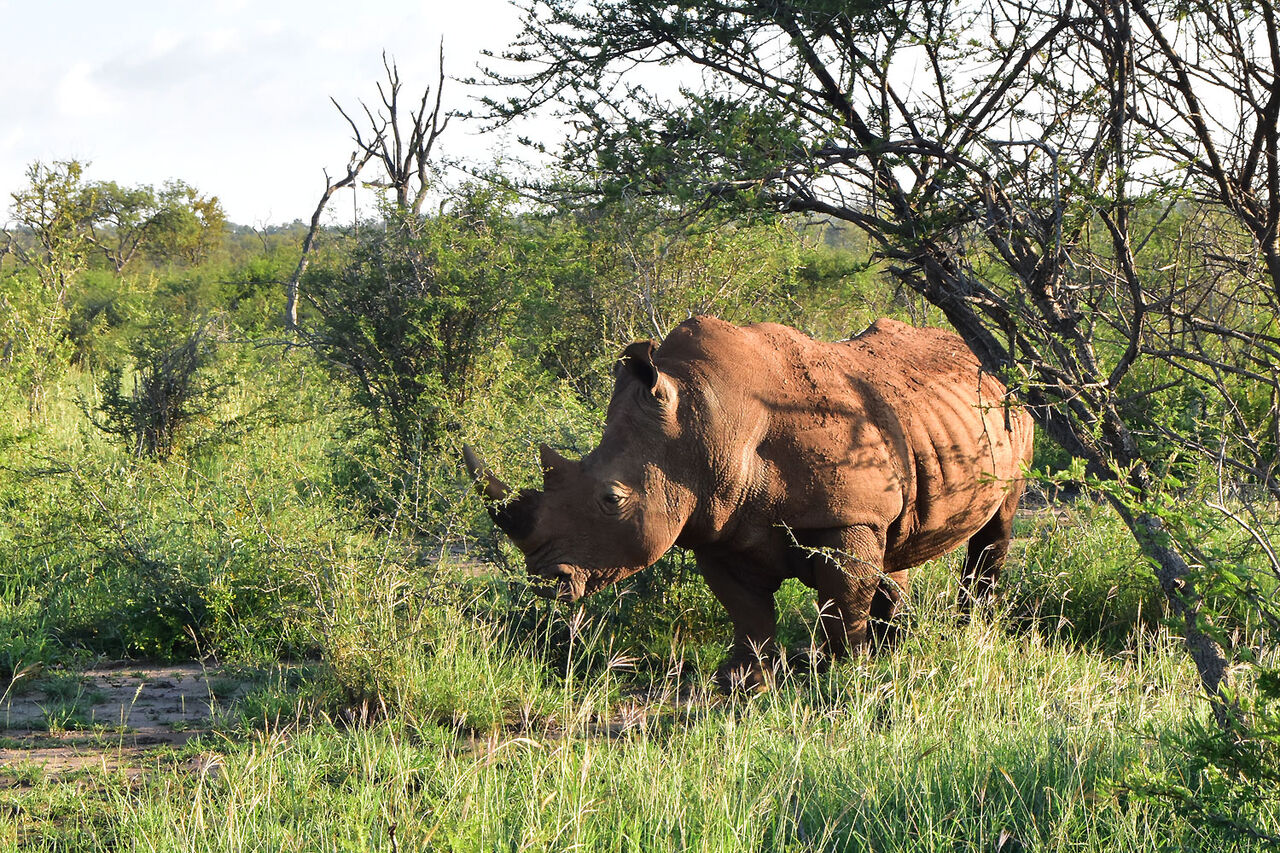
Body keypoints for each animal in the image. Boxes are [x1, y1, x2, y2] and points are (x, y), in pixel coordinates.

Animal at [464, 316, 1034, 690]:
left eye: (611, 499)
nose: (547, 578)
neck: (706, 422)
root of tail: (990, 364)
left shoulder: (845, 516)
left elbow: (843, 597)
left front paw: (848, 672)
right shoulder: (714, 524)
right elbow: (746, 610)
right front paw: (742, 682)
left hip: (1014, 414)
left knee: (995, 527)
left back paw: (972, 628)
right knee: (894, 548)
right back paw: (897, 645)